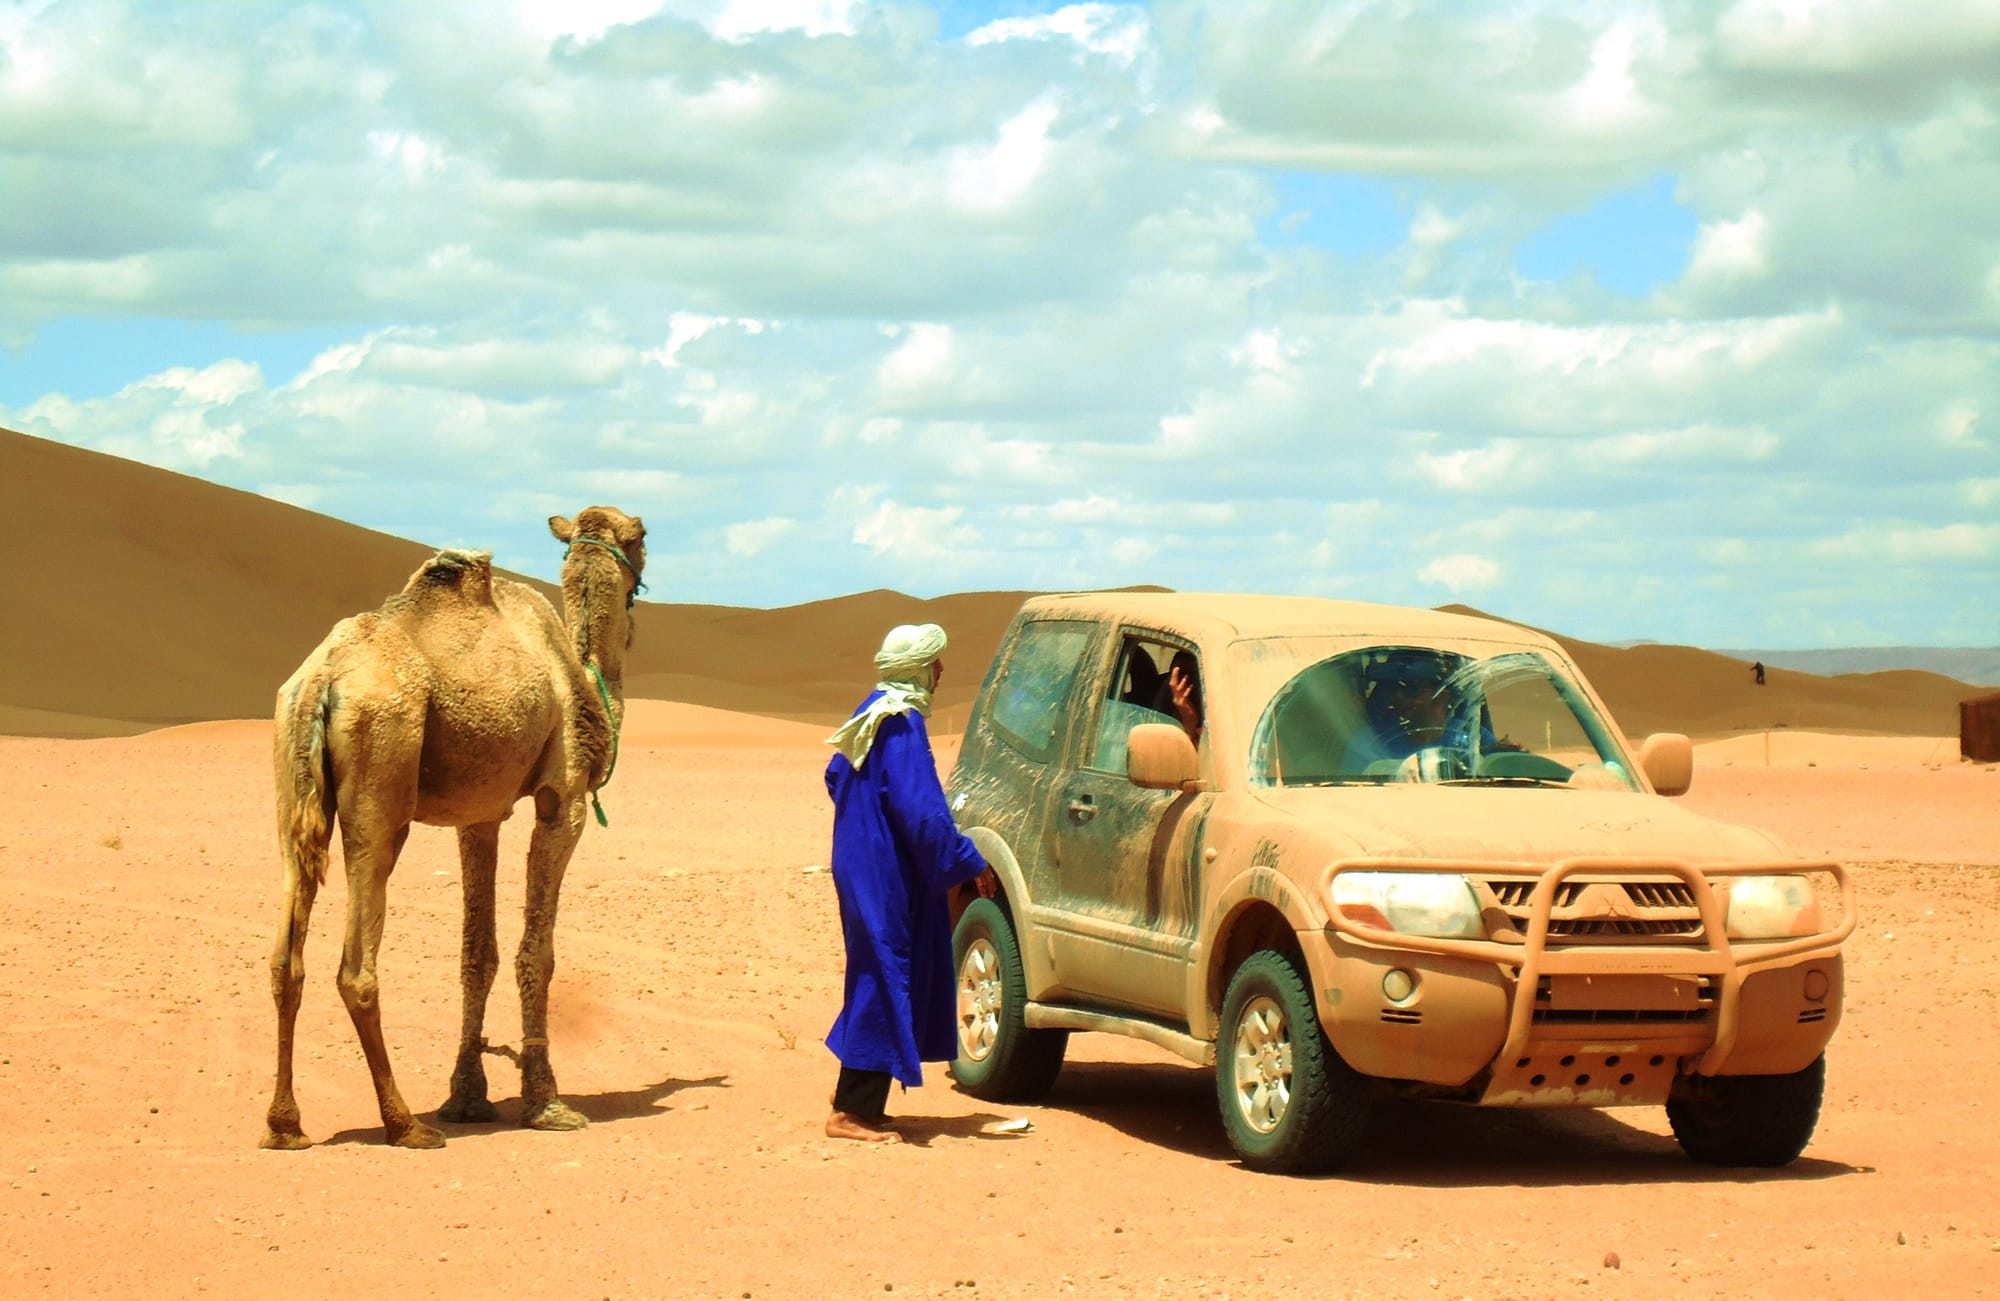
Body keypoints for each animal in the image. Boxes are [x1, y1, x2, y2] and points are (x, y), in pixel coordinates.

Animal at [262, 506, 644, 1144]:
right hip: (381, 771)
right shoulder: (562, 800)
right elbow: (536, 952)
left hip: (291, 777)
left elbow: (477, 953)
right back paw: (404, 1124)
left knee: (285, 959)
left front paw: (467, 1097)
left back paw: (284, 1125)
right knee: (356, 966)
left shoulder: (481, 816)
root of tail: (323, 680)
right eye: (643, 539)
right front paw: (547, 1103)